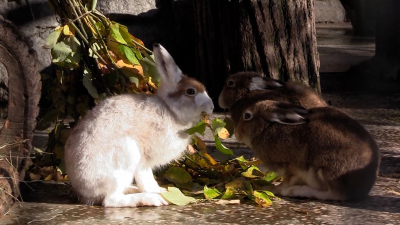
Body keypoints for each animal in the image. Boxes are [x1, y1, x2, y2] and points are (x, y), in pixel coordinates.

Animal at [236, 100, 380, 200]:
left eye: (247, 115)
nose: (237, 134)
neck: (266, 127)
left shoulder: (291, 167)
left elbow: (286, 181)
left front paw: (271, 188)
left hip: (327, 169)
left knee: (334, 194)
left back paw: (296, 191)